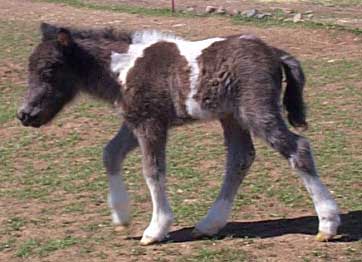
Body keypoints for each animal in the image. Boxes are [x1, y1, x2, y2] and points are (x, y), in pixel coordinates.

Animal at [17, 23, 340, 245]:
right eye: (30, 68)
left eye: (49, 68)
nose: (24, 114)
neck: (122, 69)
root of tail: (274, 52)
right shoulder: (135, 122)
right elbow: (110, 154)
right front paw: (121, 216)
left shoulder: (151, 124)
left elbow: (152, 171)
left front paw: (155, 229)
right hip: (231, 117)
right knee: (240, 159)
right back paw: (209, 224)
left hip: (257, 111)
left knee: (297, 149)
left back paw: (327, 224)